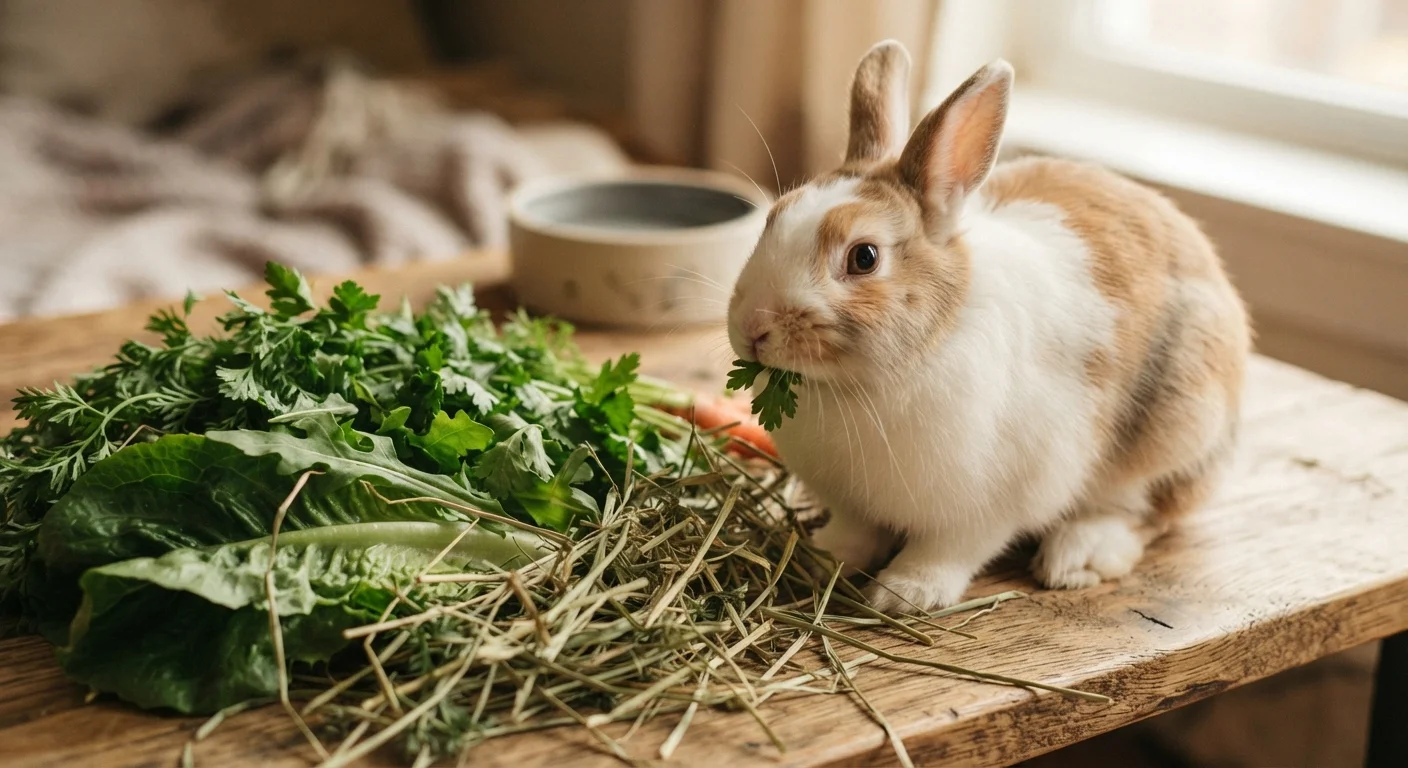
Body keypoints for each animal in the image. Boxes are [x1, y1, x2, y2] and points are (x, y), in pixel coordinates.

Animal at [726, 40, 1250, 613]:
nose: (752, 326)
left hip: (1179, 429)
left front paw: (903, 594)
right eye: (774, 216)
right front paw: (822, 558)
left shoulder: (991, 504)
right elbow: (854, 532)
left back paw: (1078, 555)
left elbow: (950, 551)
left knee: (1147, 509)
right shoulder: (854, 504)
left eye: (864, 257)